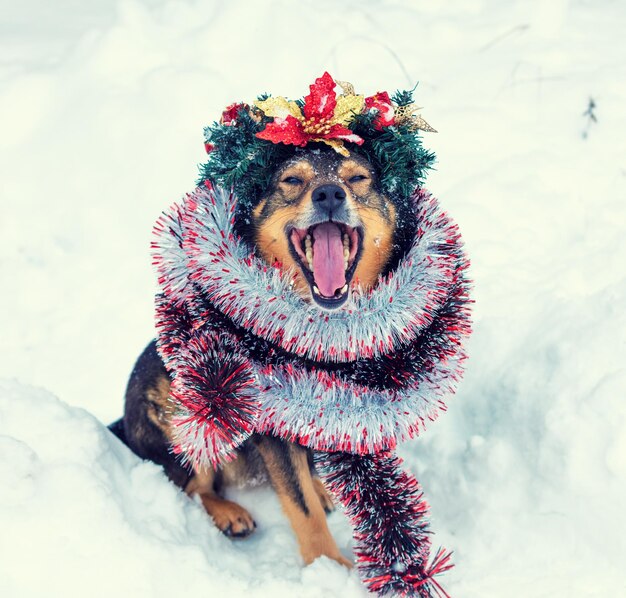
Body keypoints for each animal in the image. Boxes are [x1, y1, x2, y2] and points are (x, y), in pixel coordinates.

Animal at [108, 148, 402, 568]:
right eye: (292, 181)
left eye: (357, 178)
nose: (329, 194)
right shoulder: (268, 425)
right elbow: (302, 507)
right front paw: (329, 566)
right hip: (189, 401)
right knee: (192, 486)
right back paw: (230, 514)